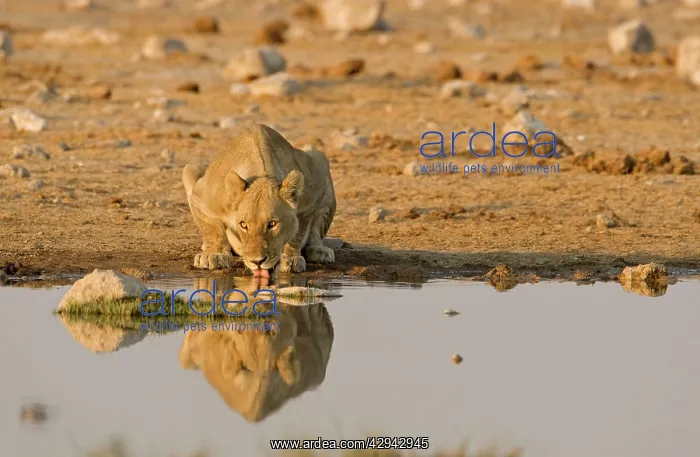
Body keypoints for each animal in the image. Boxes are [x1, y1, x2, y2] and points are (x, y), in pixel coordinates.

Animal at [182, 123, 337, 275]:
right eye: (243, 225)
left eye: (272, 224)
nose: (257, 262)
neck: (262, 173)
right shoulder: (200, 196)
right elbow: (211, 227)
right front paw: (214, 255)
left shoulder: (311, 199)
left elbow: (298, 232)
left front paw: (290, 258)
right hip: (191, 168)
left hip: (320, 158)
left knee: (316, 230)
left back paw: (320, 251)